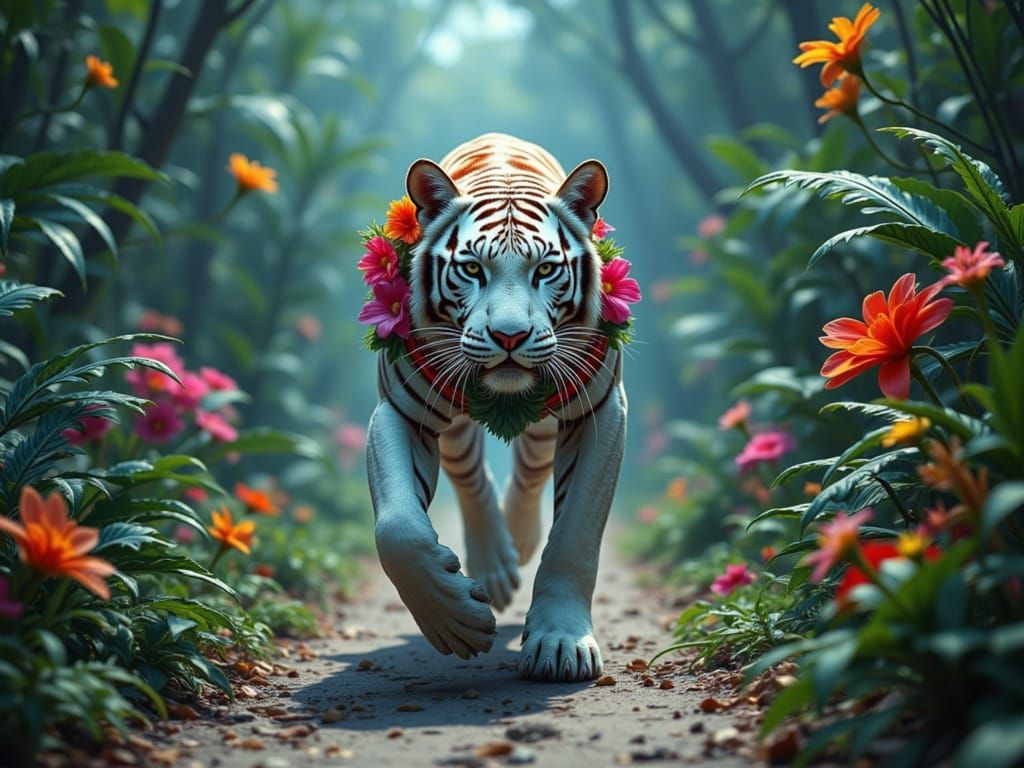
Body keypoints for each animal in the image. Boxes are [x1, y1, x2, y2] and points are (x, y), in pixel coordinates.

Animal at [366, 132, 627, 682]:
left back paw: (521, 542)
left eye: (545, 269)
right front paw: (456, 621)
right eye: (471, 269)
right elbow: (397, 528)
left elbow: (575, 536)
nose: (510, 336)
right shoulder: (399, 410)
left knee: (529, 470)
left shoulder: (599, 413)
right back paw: (495, 565)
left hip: (546, 426)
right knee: (469, 474)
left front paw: (560, 644)